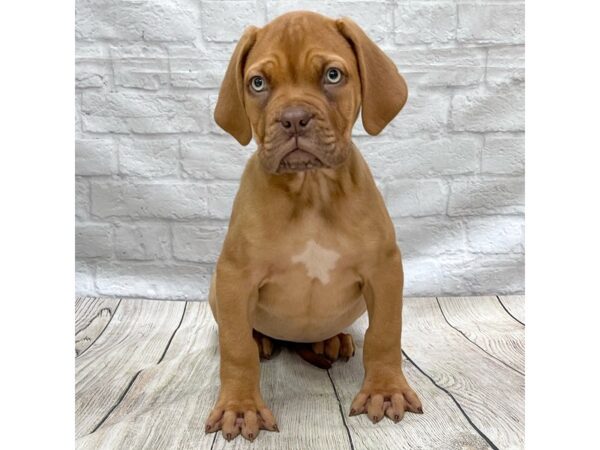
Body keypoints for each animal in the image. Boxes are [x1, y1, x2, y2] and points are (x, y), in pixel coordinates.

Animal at [206, 10, 422, 442]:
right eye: (258, 83)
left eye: (333, 75)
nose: (293, 119)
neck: (310, 190)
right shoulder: (234, 277)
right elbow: (236, 347)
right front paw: (240, 406)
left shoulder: (384, 270)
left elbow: (386, 333)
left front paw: (386, 390)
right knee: (246, 334)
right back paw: (263, 340)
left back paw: (331, 342)